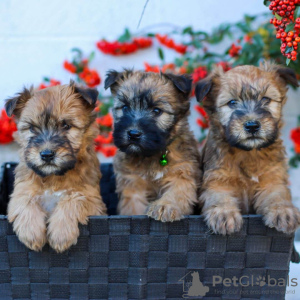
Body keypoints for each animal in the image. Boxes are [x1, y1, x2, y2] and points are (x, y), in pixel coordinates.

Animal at [4, 82, 106, 253]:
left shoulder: (94, 201)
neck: (53, 177)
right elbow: (25, 200)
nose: (46, 154)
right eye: (31, 128)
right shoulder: (21, 191)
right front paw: (32, 233)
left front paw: (61, 235)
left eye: (66, 125)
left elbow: (74, 199)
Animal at [104, 69, 200, 220]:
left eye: (156, 110)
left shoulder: (182, 173)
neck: (151, 155)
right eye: (125, 107)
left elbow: (176, 193)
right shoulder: (132, 183)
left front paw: (164, 206)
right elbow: (133, 208)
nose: (133, 134)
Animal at [195, 61, 300, 234]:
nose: (252, 126)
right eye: (232, 103)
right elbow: (219, 195)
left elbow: (277, 194)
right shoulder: (217, 179)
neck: (249, 153)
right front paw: (224, 214)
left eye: (266, 99)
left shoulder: (272, 179)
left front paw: (283, 211)